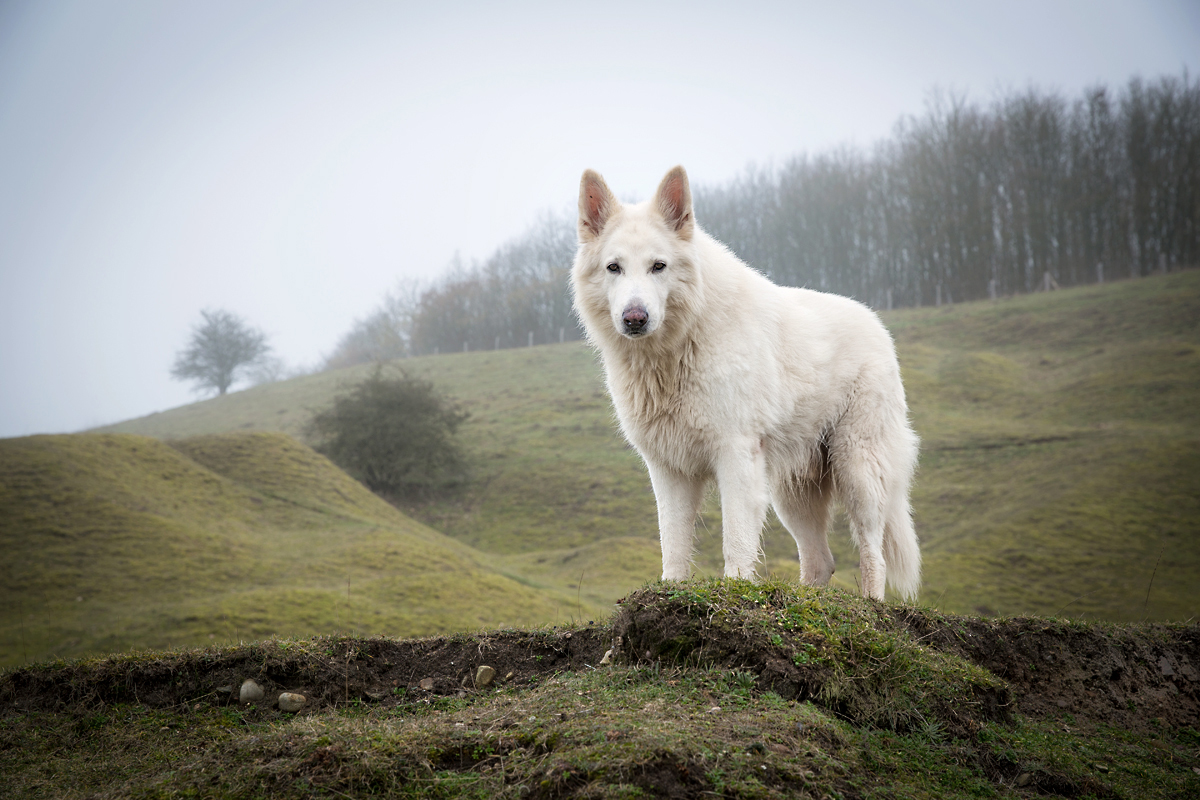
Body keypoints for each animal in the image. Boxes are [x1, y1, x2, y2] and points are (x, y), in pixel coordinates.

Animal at [568, 164, 916, 599]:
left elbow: (734, 539)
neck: (677, 349)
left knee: (874, 553)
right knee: (821, 561)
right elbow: (673, 543)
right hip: (793, 494)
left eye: (658, 266)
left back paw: (870, 603)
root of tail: (877, 324)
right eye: (613, 267)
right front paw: (672, 588)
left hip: (858, 472)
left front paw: (736, 586)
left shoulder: (734, 455)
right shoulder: (668, 469)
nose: (635, 318)